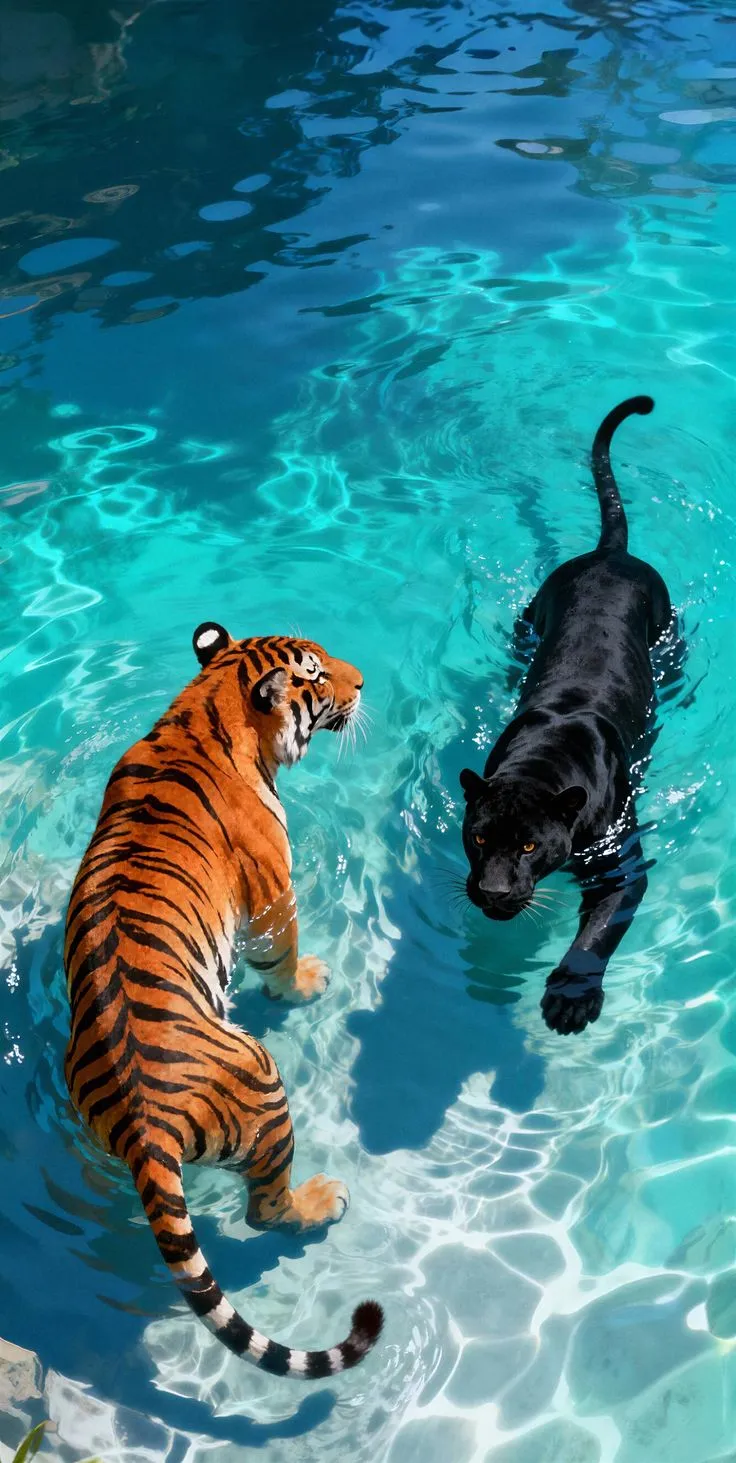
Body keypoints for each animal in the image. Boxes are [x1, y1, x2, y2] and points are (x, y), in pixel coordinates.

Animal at [64, 622, 383, 1378]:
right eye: (317, 675)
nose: (363, 682)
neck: (204, 711)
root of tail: (144, 1127)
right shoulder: (272, 891)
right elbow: (282, 952)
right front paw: (306, 982)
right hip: (264, 1084)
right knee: (263, 1211)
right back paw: (321, 1201)